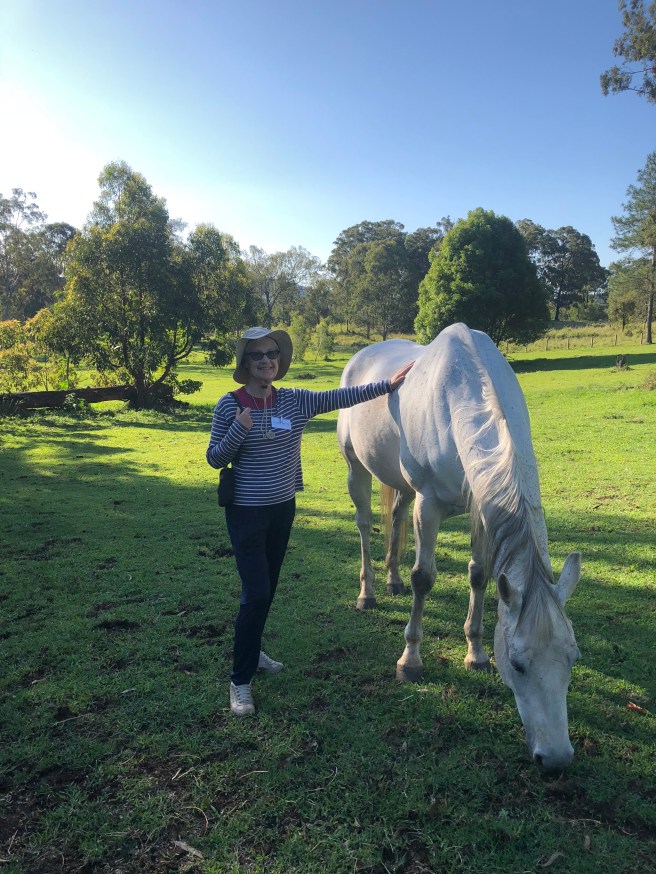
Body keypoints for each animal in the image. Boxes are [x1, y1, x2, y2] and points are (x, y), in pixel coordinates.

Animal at [337, 323, 581, 769]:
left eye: (573, 658)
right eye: (517, 665)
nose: (555, 758)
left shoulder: (480, 508)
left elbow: (481, 576)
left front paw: (476, 652)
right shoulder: (429, 503)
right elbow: (424, 578)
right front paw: (410, 660)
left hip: (399, 484)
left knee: (395, 515)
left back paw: (392, 581)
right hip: (355, 466)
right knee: (364, 526)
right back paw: (368, 593)